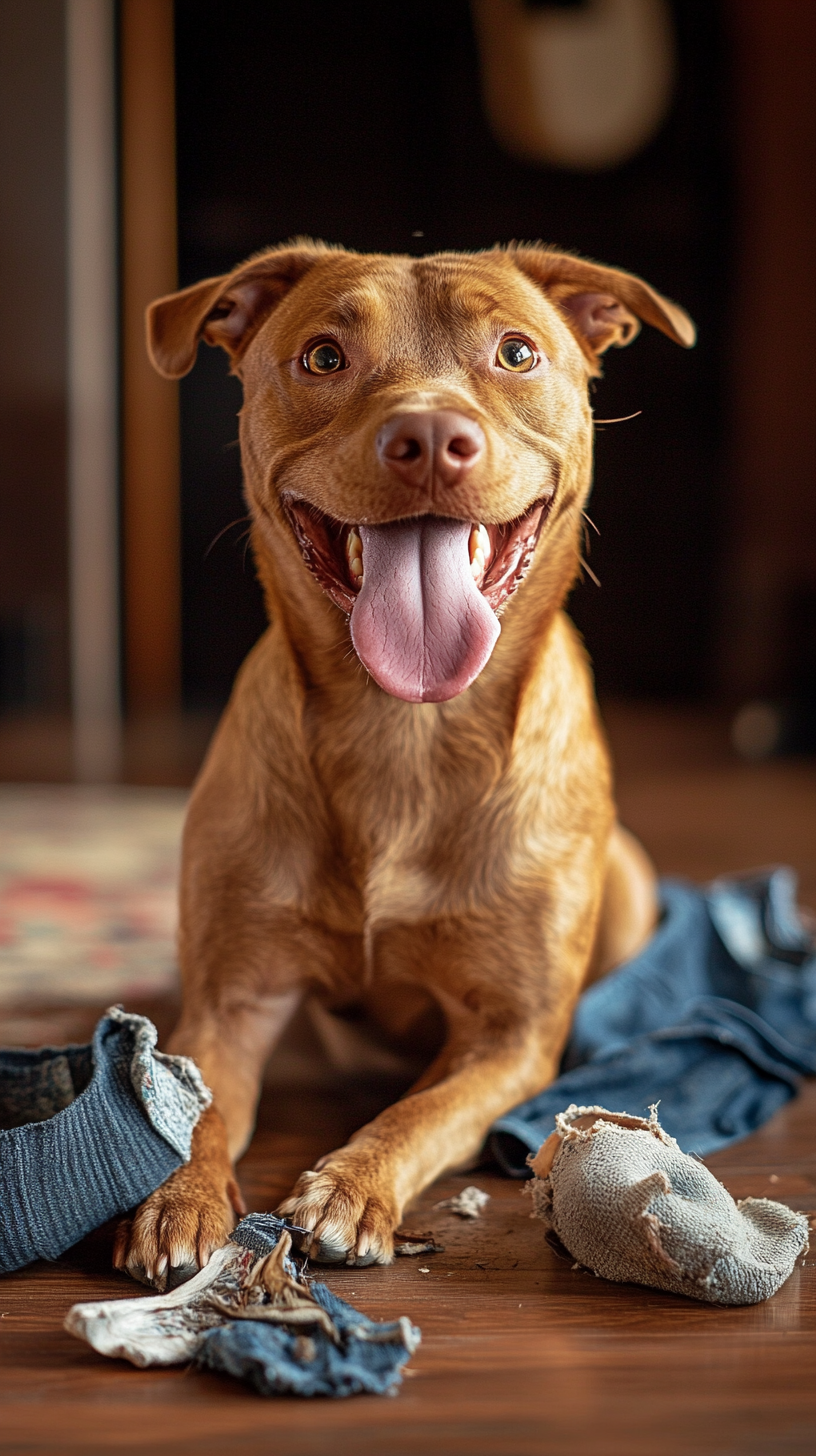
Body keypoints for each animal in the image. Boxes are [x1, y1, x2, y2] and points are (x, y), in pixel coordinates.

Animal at [111, 241, 690, 1287]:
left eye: (515, 352)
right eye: (323, 357)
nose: (427, 435)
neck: (404, 732)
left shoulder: (507, 1039)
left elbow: (421, 1110)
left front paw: (351, 1185)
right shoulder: (233, 1003)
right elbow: (192, 1108)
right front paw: (177, 1198)